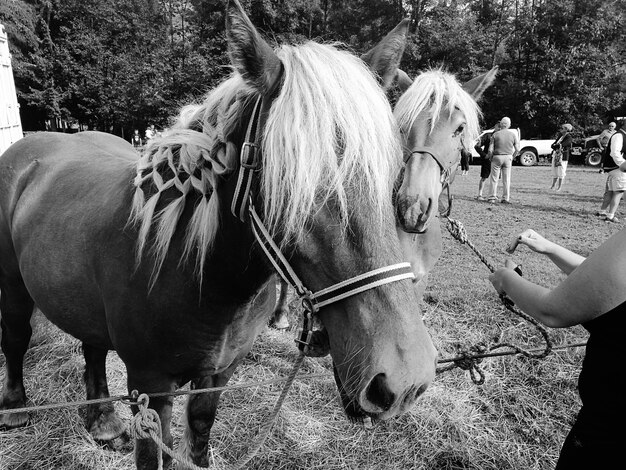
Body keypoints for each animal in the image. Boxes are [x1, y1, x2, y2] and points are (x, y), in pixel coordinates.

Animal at [0, 1, 434, 468]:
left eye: (393, 176)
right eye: (292, 184)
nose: (404, 377)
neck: (196, 272)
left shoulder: (219, 373)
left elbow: (201, 430)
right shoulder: (150, 386)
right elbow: (154, 451)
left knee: (92, 347)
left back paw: (103, 422)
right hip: (13, 286)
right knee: (16, 338)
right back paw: (14, 408)